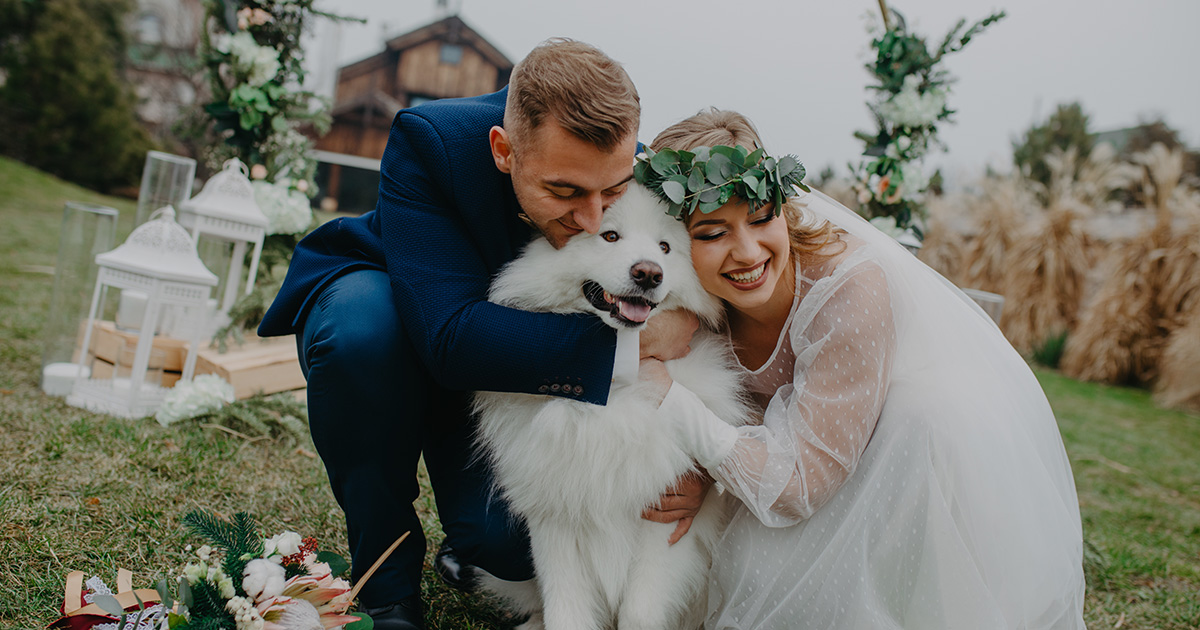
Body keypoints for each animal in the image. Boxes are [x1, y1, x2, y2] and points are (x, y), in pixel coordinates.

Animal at [470, 184, 744, 628]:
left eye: (665, 247)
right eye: (610, 236)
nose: (649, 273)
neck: (614, 393)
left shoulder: (665, 521)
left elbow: (639, 612)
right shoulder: (554, 520)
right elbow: (565, 610)